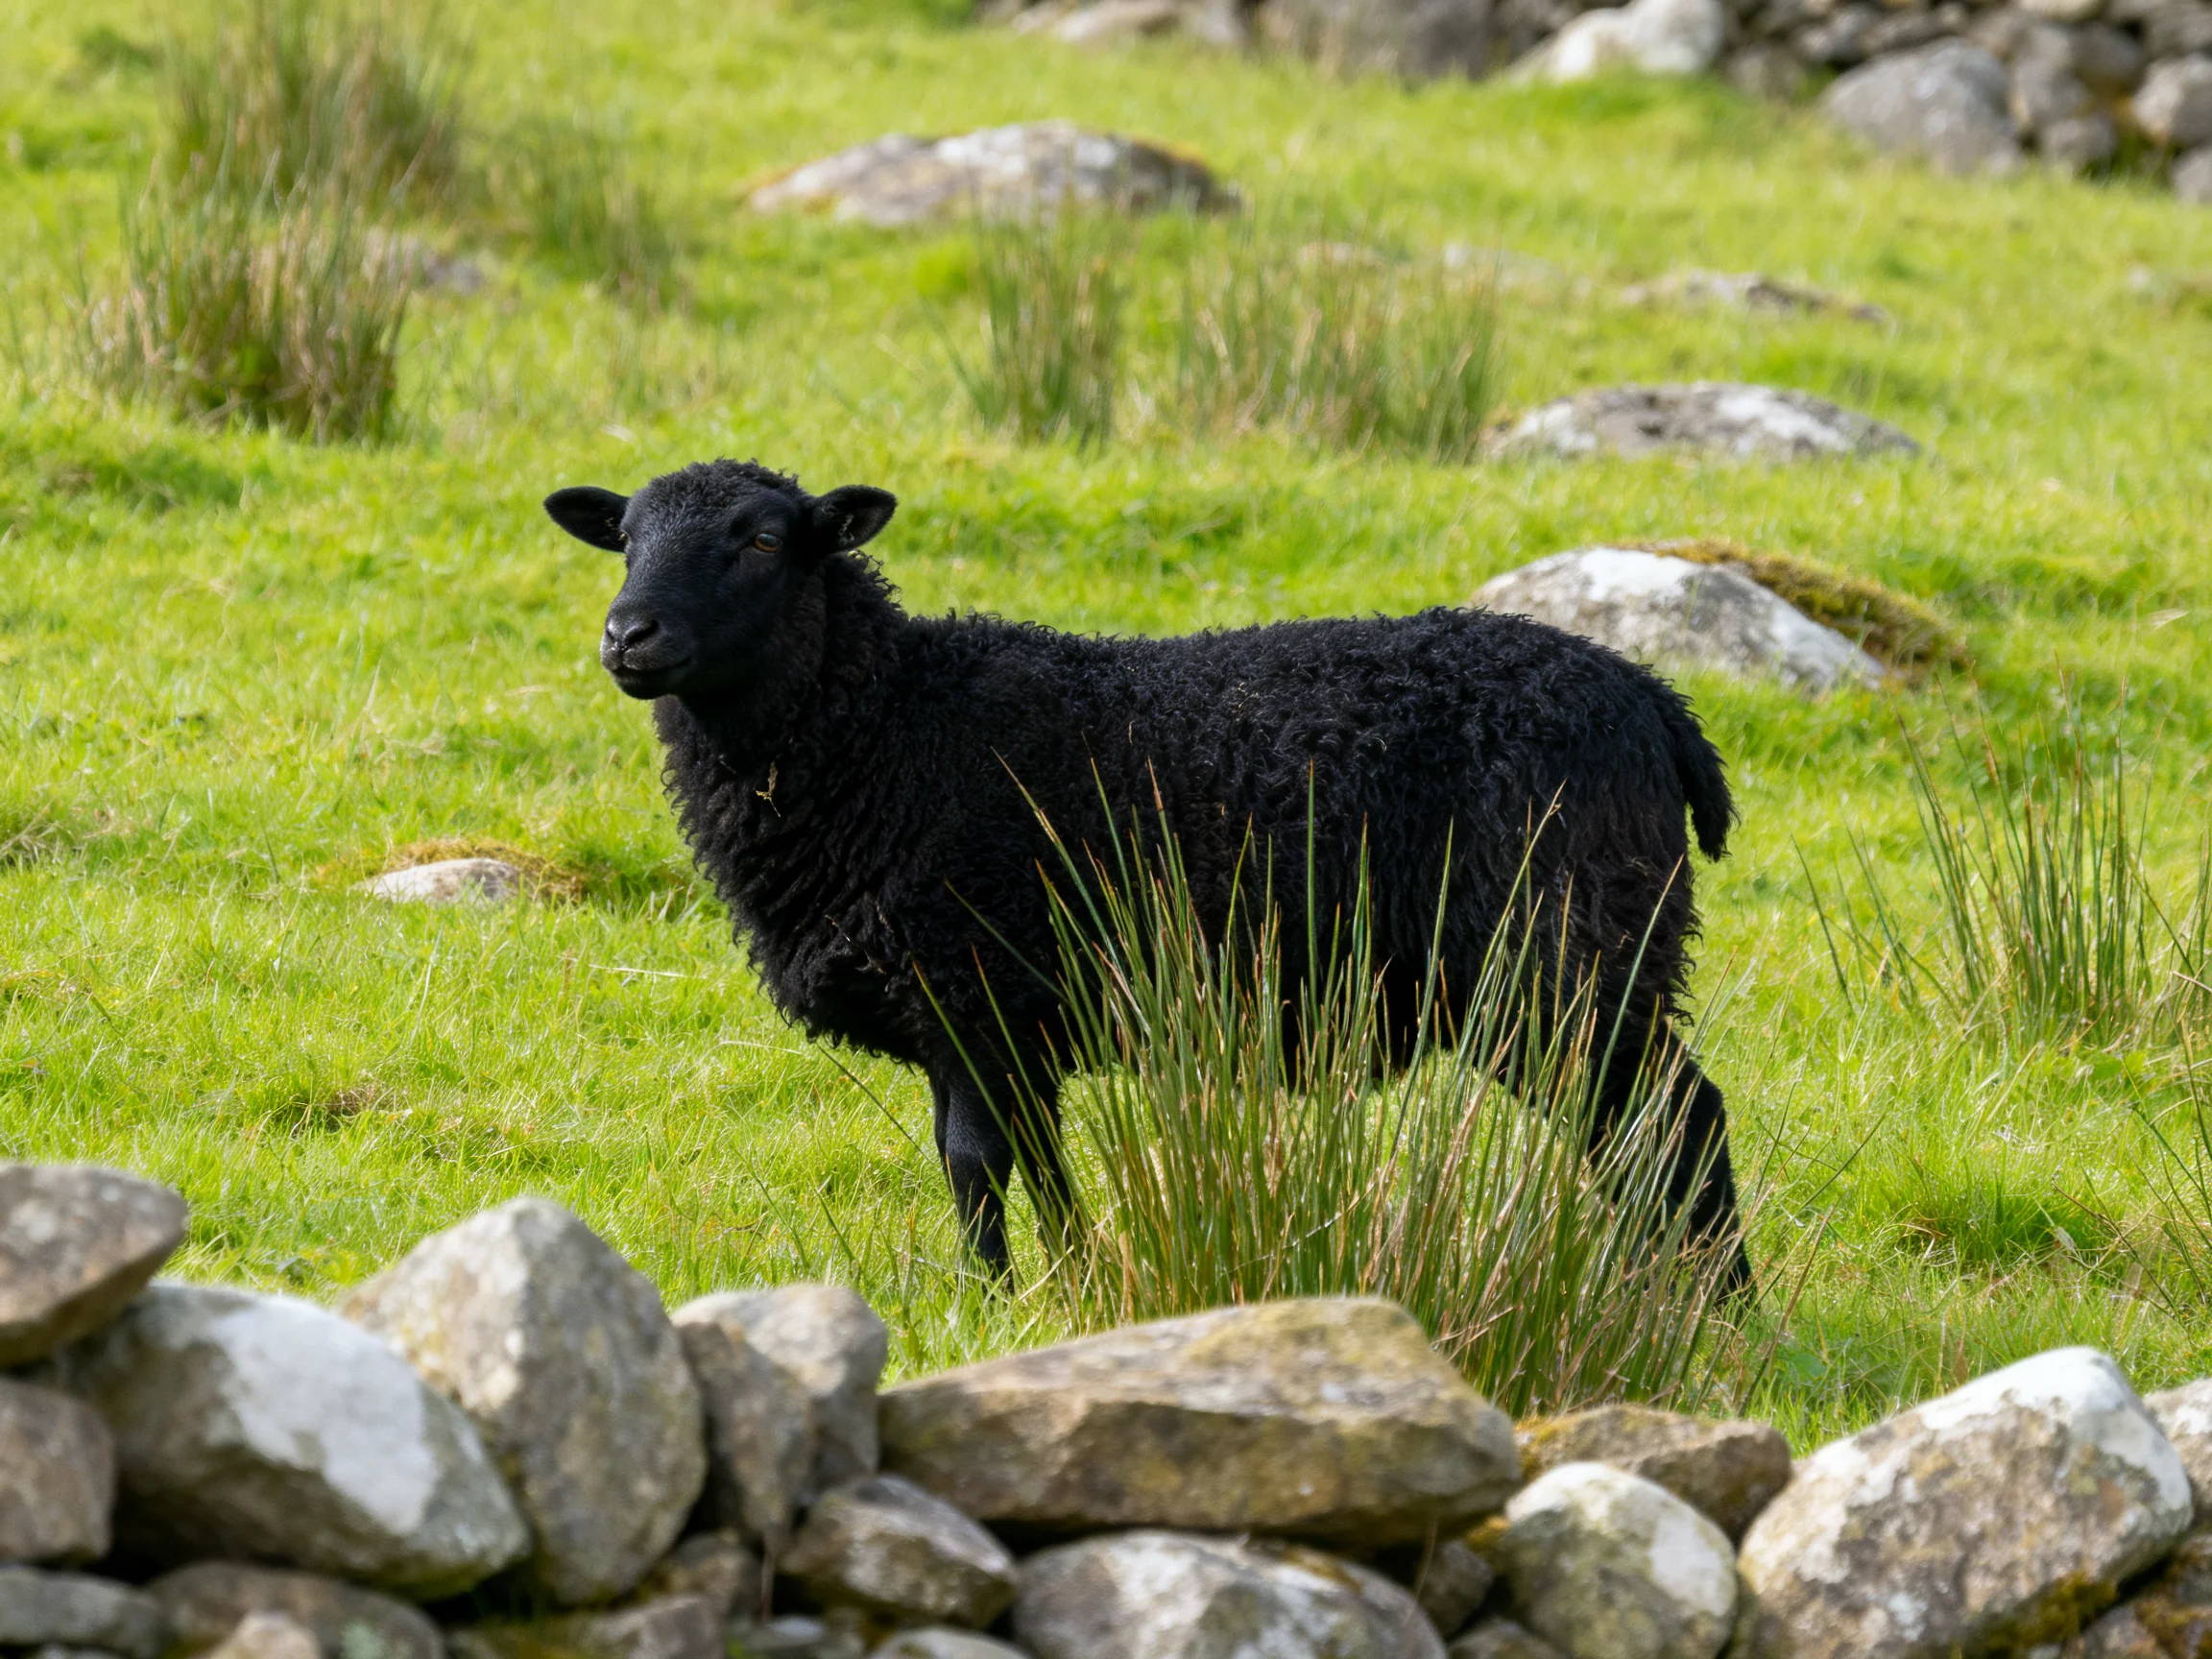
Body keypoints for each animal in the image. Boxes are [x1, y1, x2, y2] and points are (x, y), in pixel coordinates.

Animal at [545, 459, 1750, 1290]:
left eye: (759, 539)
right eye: (625, 539)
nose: (626, 636)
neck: (886, 727)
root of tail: (1654, 700)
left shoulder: (979, 988)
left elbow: (977, 1164)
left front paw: (995, 1302)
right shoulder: (979, 1021)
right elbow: (1023, 1164)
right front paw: (1066, 1287)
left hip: (1569, 949)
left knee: (1678, 1118)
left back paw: (1711, 1309)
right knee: (1634, 1132)